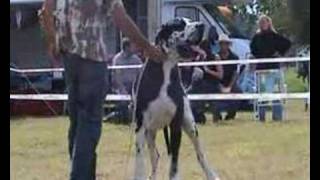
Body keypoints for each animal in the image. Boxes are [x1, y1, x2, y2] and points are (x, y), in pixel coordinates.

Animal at [132, 17, 220, 180]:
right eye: (179, 24)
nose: (201, 25)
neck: (166, 69)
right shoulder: (140, 126)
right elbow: (140, 162)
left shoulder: (176, 124)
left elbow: (174, 163)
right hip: (150, 132)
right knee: (155, 157)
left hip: (190, 125)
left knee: (200, 154)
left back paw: (211, 174)